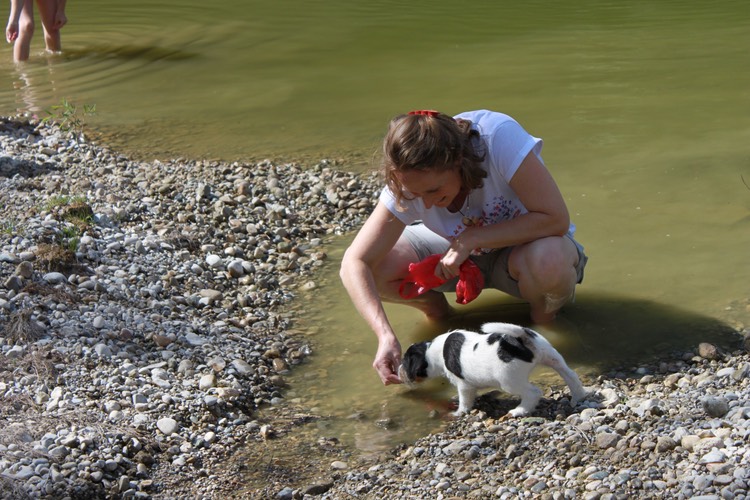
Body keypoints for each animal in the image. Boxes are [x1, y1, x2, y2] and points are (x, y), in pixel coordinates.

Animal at [400, 322, 588, 416]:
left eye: (405, 361)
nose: (399, 370)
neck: (434, 351)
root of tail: (521, 338)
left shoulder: (463, 385)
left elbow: (464, 400)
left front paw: (459, 412)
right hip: (553, 358)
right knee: (571, 376)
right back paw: (578, 396)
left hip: (509, 381)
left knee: (533, 392)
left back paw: (520, 410)